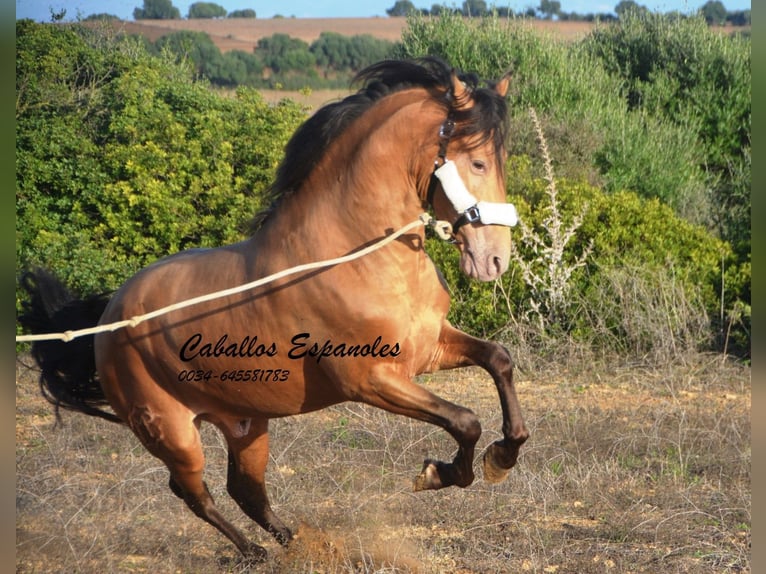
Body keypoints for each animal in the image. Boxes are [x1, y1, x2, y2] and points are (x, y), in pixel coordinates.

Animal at [21, 57, 532, 564]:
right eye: (478, 161)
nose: (495, 259)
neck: (354, 256)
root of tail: (108, 317)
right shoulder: (371, 379)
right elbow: (465, 419)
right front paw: (439, 473)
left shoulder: (429, 347)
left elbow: (499, 360)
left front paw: (502, 456)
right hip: (172, 433)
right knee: (195, 492)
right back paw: (255, 552)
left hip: (245, 425)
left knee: (245, 490)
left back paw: (299, 544)